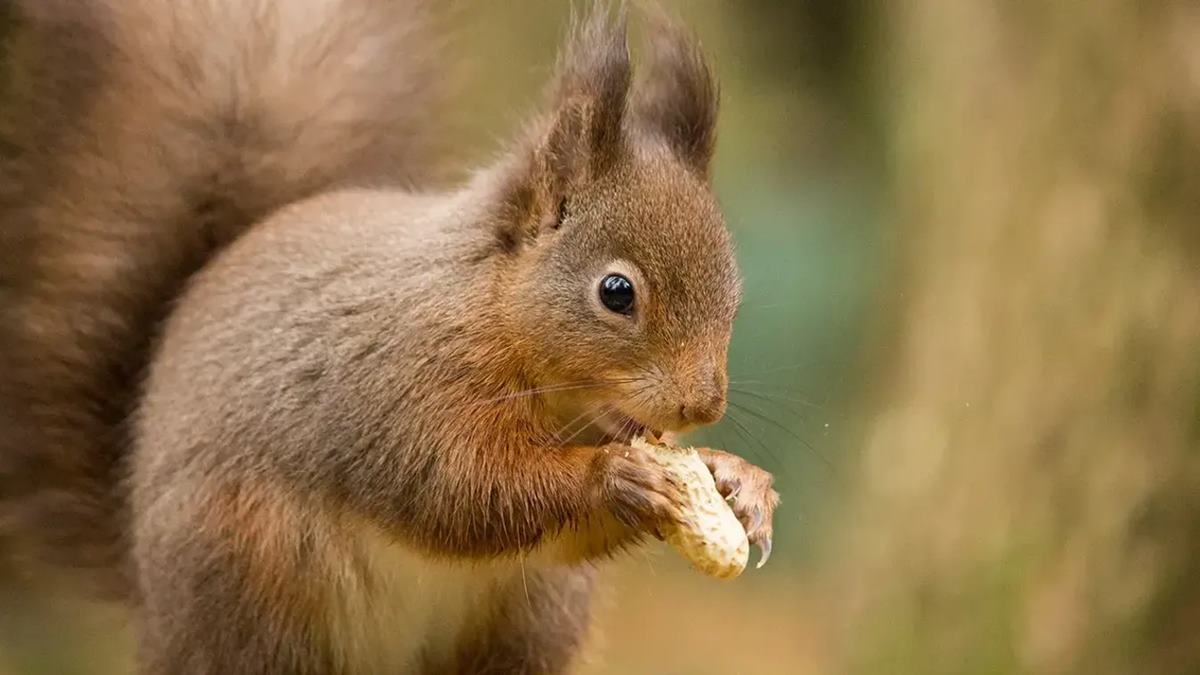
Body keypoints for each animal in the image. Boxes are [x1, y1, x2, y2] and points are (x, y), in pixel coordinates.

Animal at [0, 1, 780, 673]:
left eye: (736, 296)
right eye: (616, 292)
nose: (702, 405)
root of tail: (149, 597)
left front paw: (738, 481)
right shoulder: (402, 383)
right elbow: (460, 488)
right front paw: (615, 477)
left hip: (534, 615)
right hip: (251, 574)